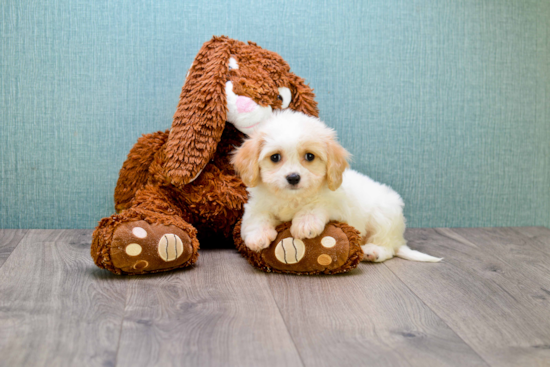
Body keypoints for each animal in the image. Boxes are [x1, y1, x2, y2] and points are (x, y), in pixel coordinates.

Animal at [233, 110, 444, 264]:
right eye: (275, 157)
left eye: (309, 156)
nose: (293, 177)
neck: (292, 199)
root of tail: (400, 237)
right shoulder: (257, 204)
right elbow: (257, 217)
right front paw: (258, 236)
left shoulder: (338, 205)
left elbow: (316, 205)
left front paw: (305, 223)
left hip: (384, 215)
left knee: (388, 246)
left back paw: (373, 251)